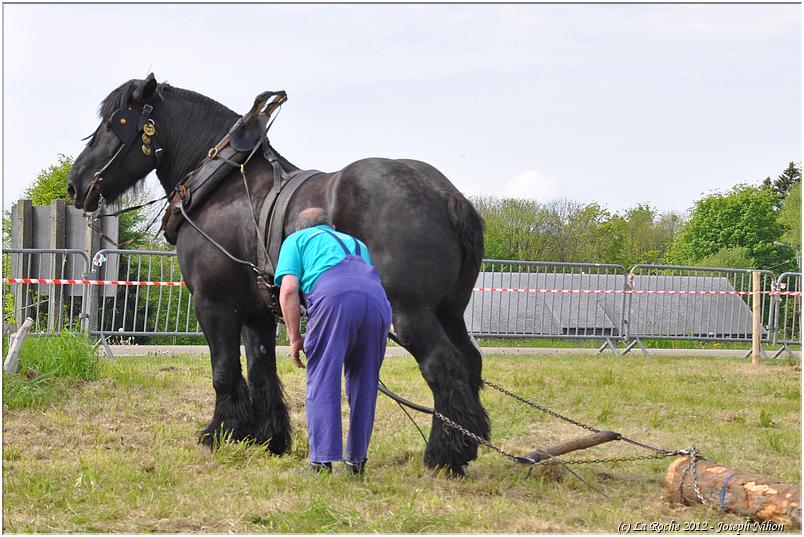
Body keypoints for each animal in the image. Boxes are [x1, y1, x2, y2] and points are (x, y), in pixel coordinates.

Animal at [66, 74, 486, 474]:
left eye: (114, 123)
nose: (74, 184)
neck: (223, 186)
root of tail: (447, 196)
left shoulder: (212, 303)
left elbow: (224, 370)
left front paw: (220, 432)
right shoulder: (257, 311)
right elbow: (261, 369)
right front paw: (269, 437)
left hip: (411, 312)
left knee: (443, 366)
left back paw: (445, 453)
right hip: (449, 311)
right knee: (470, 361)